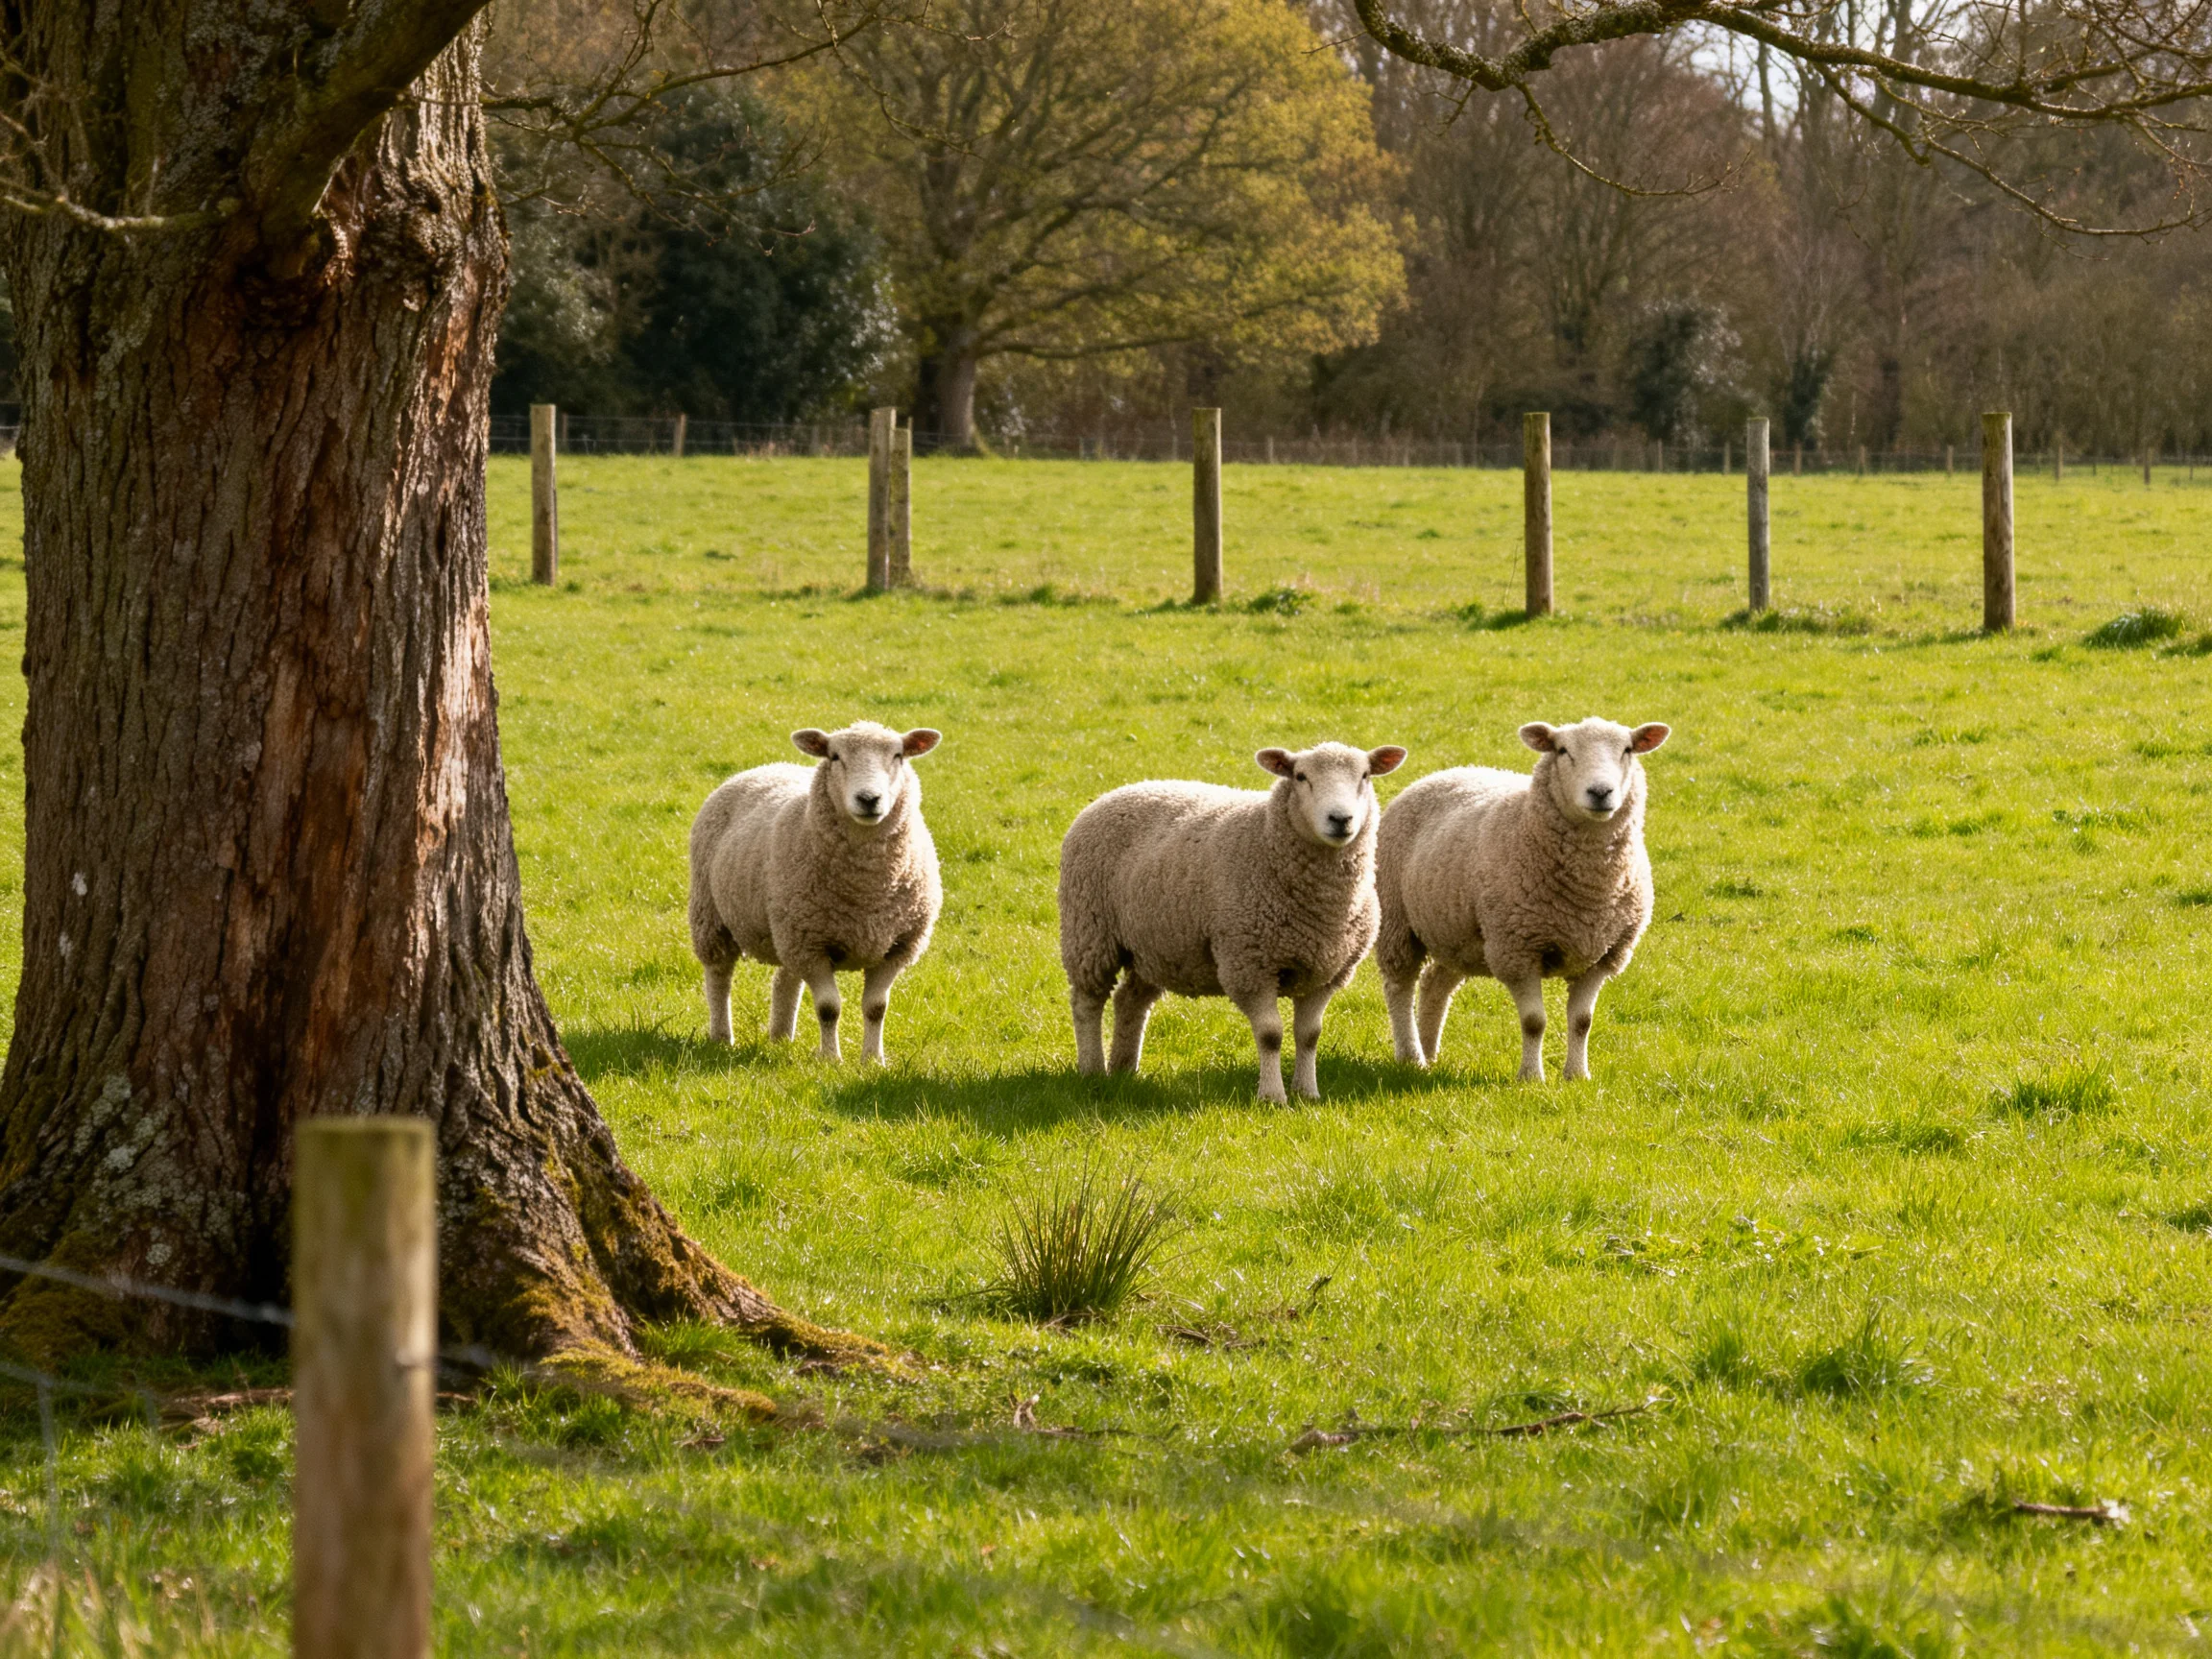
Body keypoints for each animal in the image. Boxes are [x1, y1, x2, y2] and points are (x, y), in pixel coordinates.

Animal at [688, 721, 943, 1062]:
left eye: (898, 756)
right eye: (835, 757)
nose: (868, 799)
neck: (866, 891)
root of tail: (767, 767)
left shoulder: (897, 947)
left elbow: (876, 1008)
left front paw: (873, 1060)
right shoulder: (811, 946)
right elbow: (828, 1008)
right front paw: (831, 1060)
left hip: (786, 928)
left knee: (786, 979)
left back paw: (781, 1037)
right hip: (713, 916)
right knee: (719, 976)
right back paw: (722, 1036)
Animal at [1058, 741, 1408, 1103]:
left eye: (1364, 776)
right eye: (1300, 776)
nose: (1340, 819)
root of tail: (1118, 791)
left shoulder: (1327, 972)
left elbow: (1309, 1034)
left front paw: (1307, 1093)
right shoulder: (1249, 964)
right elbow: (1270, 1034)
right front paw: (1272, 1097)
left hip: (1153, 946)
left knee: (1130, 1001)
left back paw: (1124, 1070)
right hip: (1089, 932)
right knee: (1087, 1001)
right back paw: (1092, 1069)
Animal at [1374, 717, 1670, 1083]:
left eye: (1627, 750)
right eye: (1562, 751)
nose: (1600, 793)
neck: (1588, 892)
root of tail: (1444, 772)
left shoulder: (1603, 954)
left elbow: (1582, 1022)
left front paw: (1577, 1076)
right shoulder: (1517, 950)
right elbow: (1534, 1022)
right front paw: (1531, 1078)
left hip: (1458, 934)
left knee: (1435, 983)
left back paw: (1429, 1052)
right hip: (1396, 922)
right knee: (1399, 988)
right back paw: (1411, 1054)